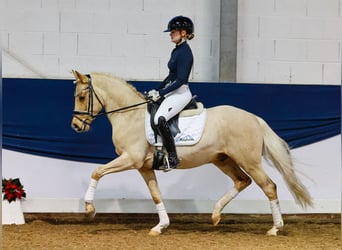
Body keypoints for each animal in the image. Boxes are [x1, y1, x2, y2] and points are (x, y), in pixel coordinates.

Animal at [71, 70, 312, 236]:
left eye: (82, 97)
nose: (75, 125)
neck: (130, 115)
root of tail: (254, 118)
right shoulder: (143, 166)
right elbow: (156, 194)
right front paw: (161, 226)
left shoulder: (130, 159)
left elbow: (96, 171)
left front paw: (89, 209)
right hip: (223, 160)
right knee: (243, 181)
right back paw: (215, 214)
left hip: (249, 161)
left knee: (269, 186)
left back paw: (275, 228)